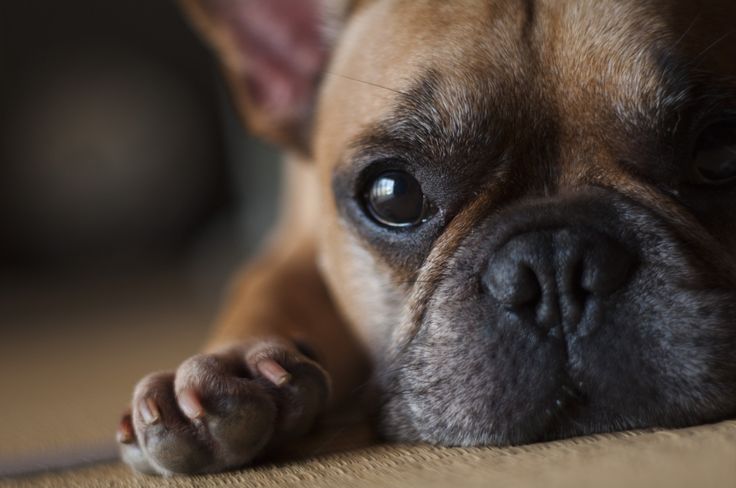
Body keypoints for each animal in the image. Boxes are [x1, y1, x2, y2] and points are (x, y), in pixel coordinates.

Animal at [115, 0, 736, 474]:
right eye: (393, 195)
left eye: (720, 153)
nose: (557, 265)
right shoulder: (292, 244)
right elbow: (264, 286)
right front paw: (230, 365)